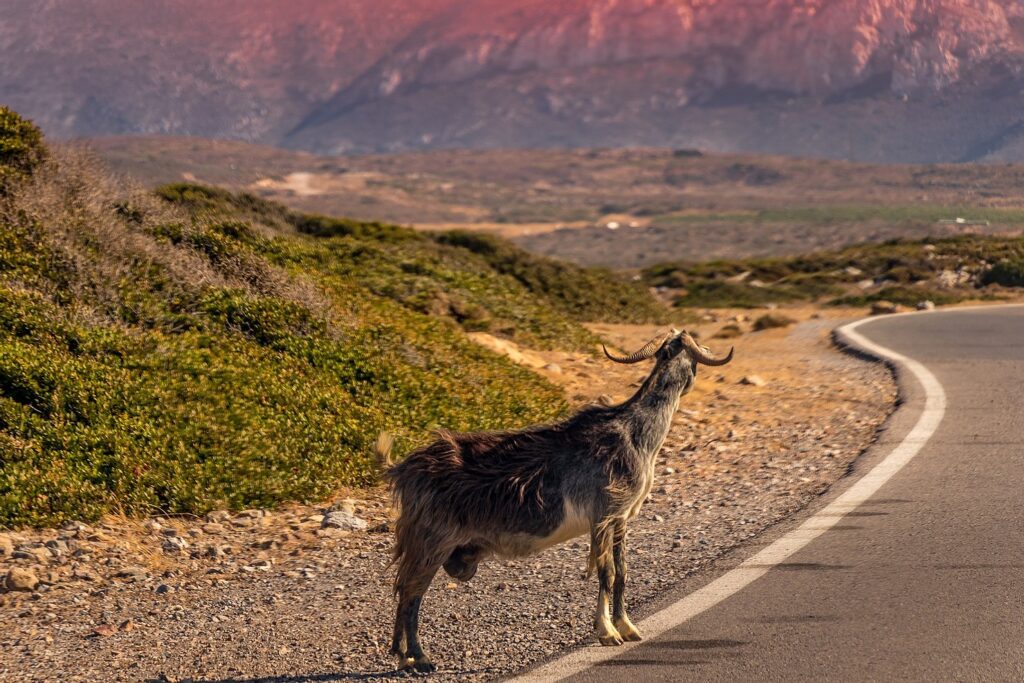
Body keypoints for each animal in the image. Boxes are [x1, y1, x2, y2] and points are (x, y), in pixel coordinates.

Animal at [382, 331, 729, 671]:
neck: (634, 432)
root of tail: (404, 470)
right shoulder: (603, 515)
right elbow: (606, 573)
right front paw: (607, 632)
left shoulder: (621, 518)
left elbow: (622, 572)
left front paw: (628, 626)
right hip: (433, 540)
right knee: (411, 591)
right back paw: (419, 658)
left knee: (403, 587)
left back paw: (401, 656)